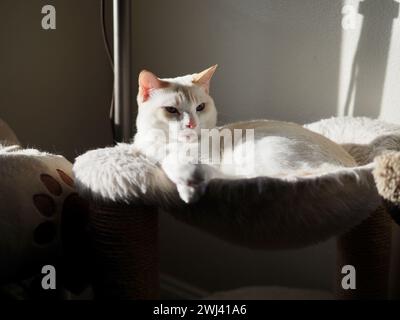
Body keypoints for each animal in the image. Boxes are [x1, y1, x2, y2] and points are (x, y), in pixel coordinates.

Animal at [133, 65, 354, 202]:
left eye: (200, 107)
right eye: (171, 110)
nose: (191, 124)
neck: (169, 145)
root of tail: (341, 168)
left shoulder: (206, 160)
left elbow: (182, 166)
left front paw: (189, 185)